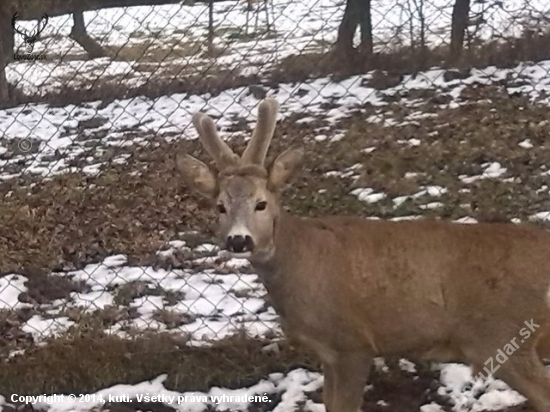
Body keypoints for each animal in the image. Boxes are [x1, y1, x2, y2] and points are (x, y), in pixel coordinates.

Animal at [177, 99, 550, 412]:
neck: (302, 259)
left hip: (504, 335)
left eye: (261, 203)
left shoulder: (353, 343)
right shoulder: (328, 353)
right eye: (220, 206)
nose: (239, 240)